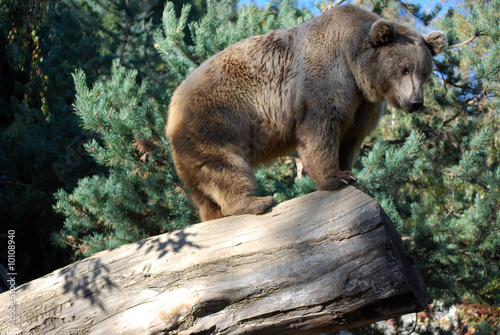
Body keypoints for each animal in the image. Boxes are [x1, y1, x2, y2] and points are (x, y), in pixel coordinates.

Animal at [166, 4, 448, 223]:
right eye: (404, 69)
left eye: (425, 72)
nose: (415, 102)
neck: (354, 66)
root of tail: (172, 107)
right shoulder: (326, 77)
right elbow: (320, 127)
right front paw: (336, 177)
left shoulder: (362, 104)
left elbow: (351, 137)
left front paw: (350, 173)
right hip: (217, 119)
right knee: (225, 166)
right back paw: (255, 201)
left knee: (203, 188)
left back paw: (214, 215)